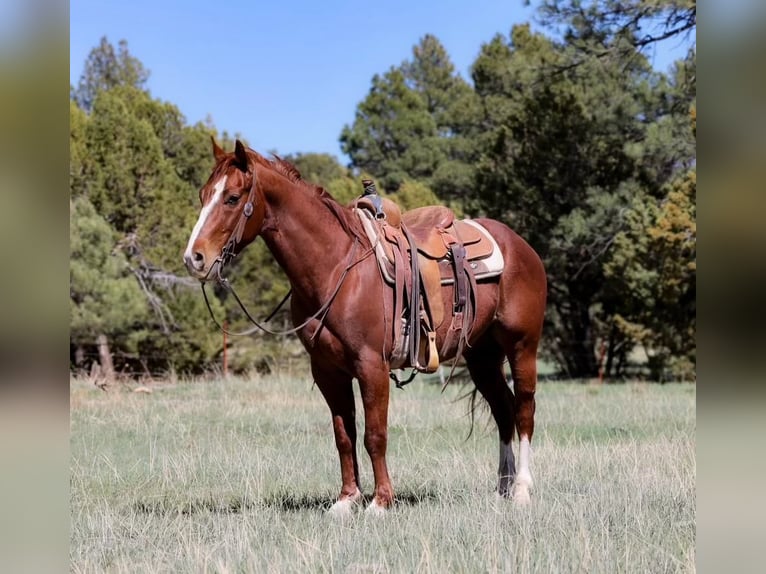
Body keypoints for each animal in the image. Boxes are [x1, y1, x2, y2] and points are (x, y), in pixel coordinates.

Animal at [183, 139, 547, 515]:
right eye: (203, 194)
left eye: (231, 198)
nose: (194, 258)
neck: (337, 267)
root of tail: (519, 244)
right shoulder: (327, 371)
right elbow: (344, 435)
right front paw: (347, 499)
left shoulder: (372, 366)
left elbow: (375, 434)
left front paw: (381, 501)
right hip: (482, 357)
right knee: (503, 410)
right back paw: (502, 489)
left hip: (522, 347)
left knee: (523, 410)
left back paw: (521, 489)